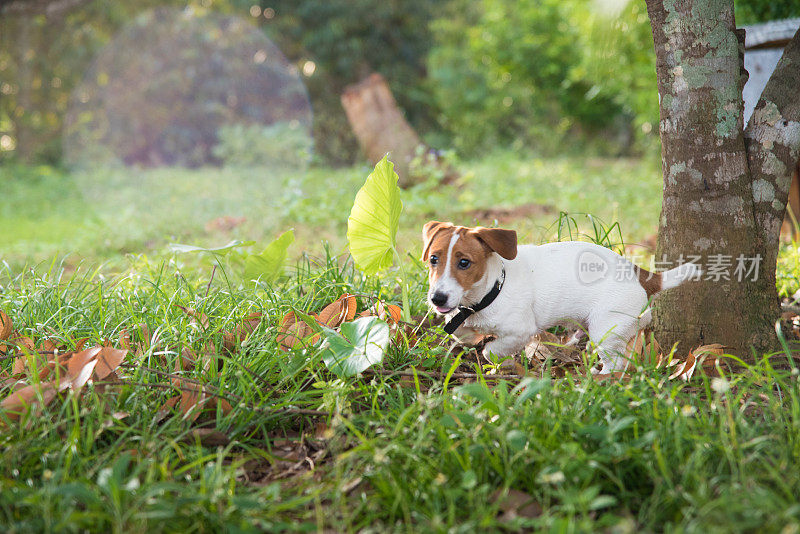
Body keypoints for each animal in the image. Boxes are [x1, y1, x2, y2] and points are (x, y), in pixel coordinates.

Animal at [422, 221, 704, 372]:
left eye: (465, 263)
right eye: (434, 259)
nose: (438, 299)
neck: (493, 288)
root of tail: (642, 274)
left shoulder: (520, 331)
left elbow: (492, 351)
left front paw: (499, 359)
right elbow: (463, 333)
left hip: (606, 330)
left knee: (617, 363)